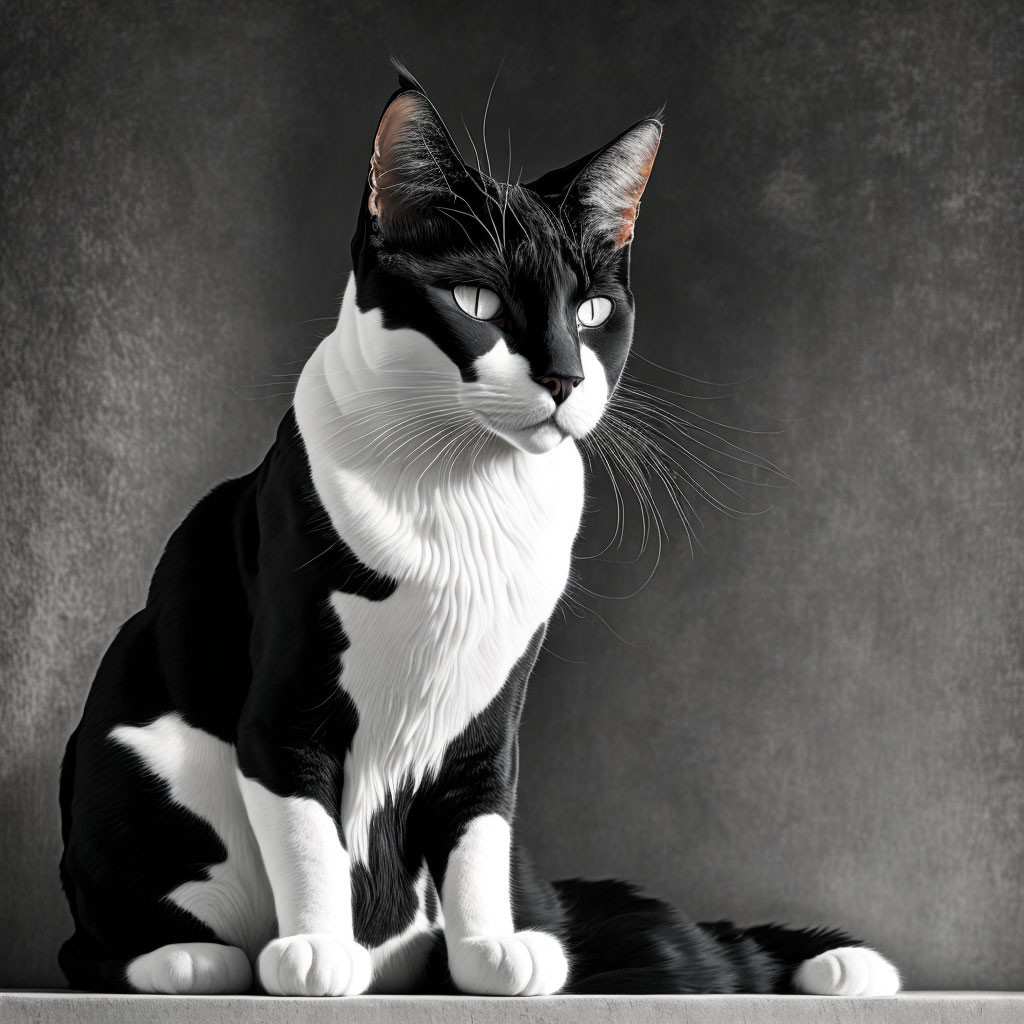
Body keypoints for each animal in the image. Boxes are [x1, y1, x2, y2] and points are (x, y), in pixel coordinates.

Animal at [58, 68, 905, 995]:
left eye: (593, 310)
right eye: (477, 301)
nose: (565, 375)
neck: (464, 494)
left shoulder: (494, 715)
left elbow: (477, 824)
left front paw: (488, 951)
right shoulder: (288, 702)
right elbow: (306, 826)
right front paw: (316, 949)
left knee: (684, 949)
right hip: (122, 768)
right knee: (92, 941)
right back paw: (196, 959)